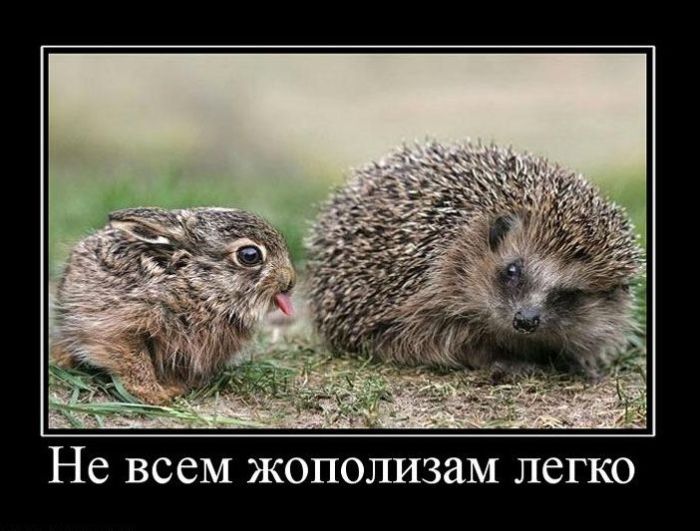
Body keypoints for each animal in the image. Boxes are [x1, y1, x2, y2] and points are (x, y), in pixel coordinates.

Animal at [51, 207, 296, 404]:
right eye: (250, 255)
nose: (290, 281)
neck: (199, 283)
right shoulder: (120, 327)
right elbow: (136, 362)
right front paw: (156, 394)